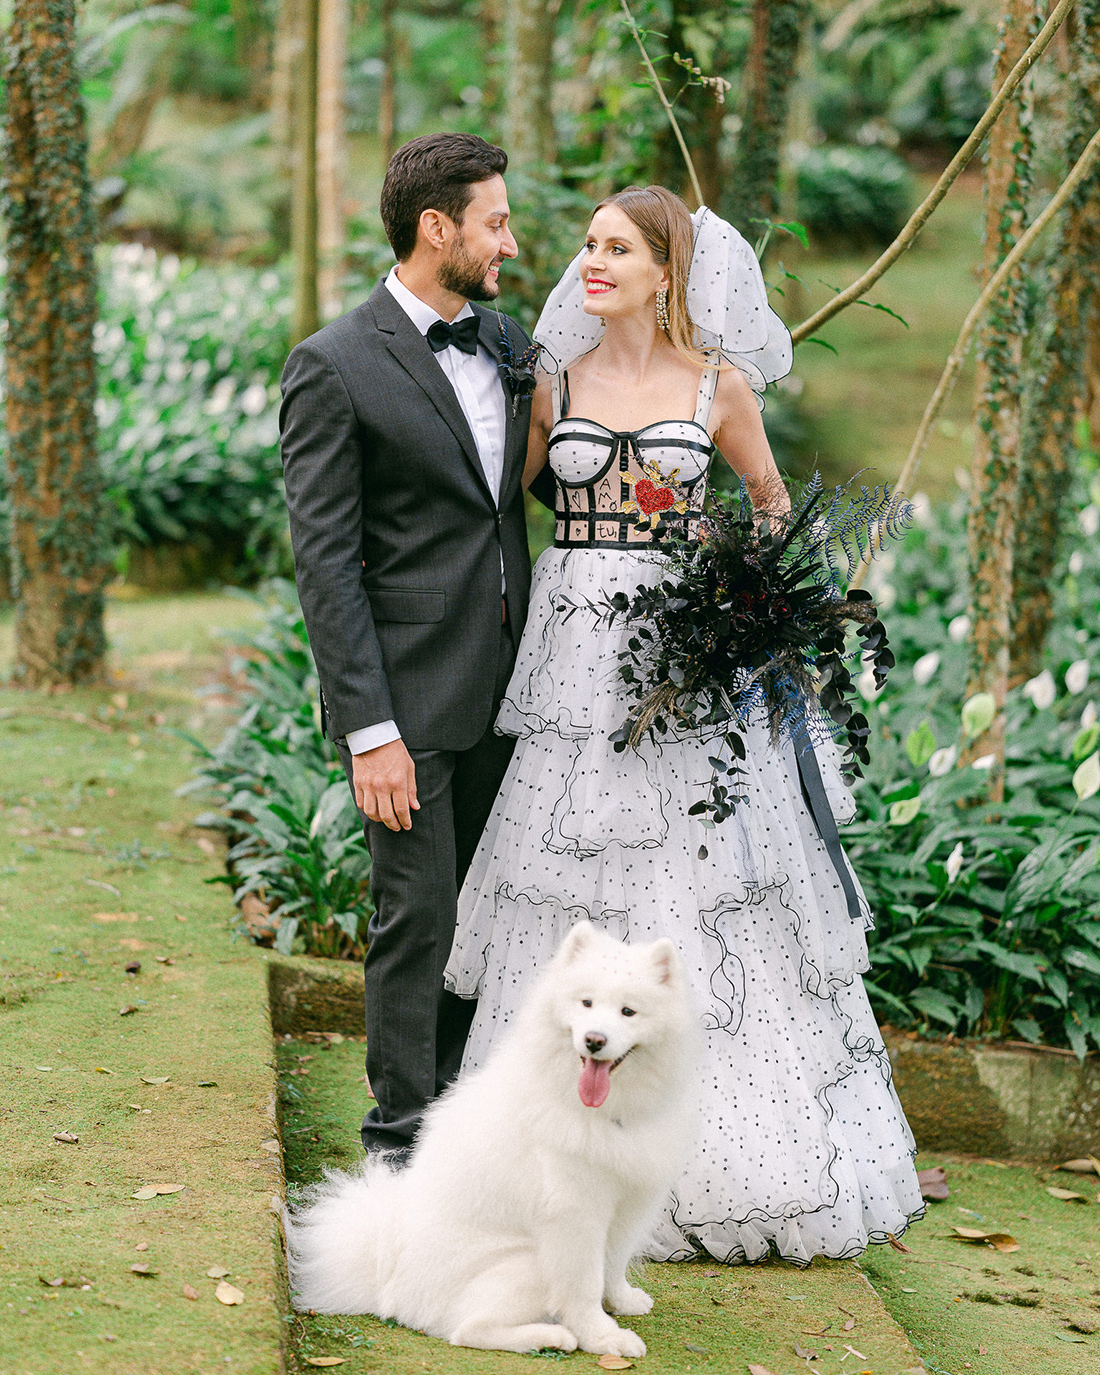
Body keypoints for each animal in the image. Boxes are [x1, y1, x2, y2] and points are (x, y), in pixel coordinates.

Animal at [283, 918, 695, 1358]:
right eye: (586, 1003)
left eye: (628, 1011)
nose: (594, 1040)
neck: (603, 1110)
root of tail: (386, 1284)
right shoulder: (575, 1214)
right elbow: (583, 1286)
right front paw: (603, 1337)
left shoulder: (630, 1201)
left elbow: (613, 1263)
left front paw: (621, 1301)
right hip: (528, 1263)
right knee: (467, 1330)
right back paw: (553, 1336)